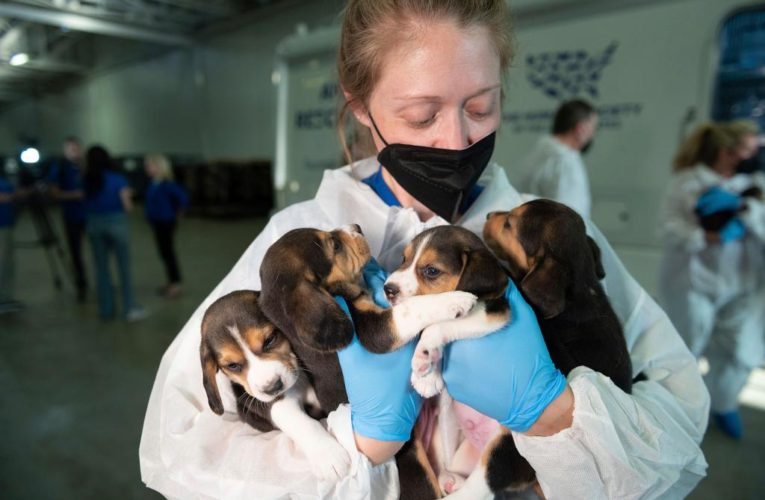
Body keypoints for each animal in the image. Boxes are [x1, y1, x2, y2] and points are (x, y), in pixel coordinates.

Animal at [198, 292, 350, 482]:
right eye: (232, 365)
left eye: (269, 340)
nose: (273, 387)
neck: (298, 383)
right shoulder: (273, 403)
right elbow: (300, 423)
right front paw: (328, 456)